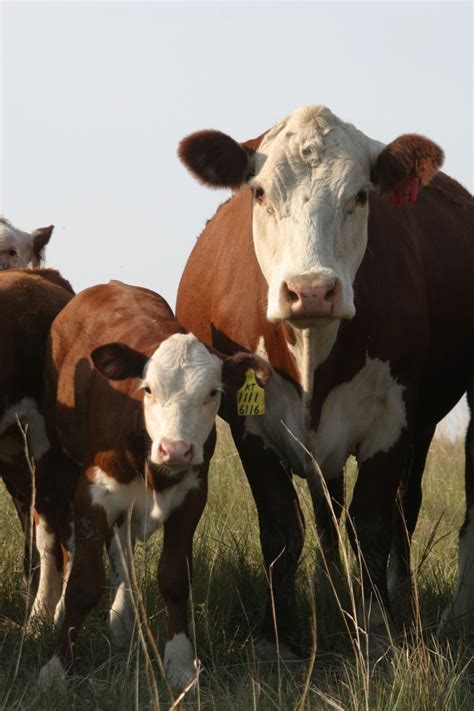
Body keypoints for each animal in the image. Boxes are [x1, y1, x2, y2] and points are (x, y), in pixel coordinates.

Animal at [35, 280, 272, 692]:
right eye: (147, 389)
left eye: (213, 392)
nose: (175, 449)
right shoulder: (93, 494)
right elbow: (83, 583)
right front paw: (56, 668)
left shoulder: (192, 495)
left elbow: (174, 578)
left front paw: (179, 663)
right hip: (60, 461)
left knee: (123, 551)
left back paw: (122, 622)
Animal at [175, 103, 474, 652]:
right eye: (260, 192)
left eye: (360, 195)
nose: (311, 291)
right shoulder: (249, 427)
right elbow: (281, 528)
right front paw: (278, 635)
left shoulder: (394, 419)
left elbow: (373, 523)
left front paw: (377, 625)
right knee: (326, 509)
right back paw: (330, 582)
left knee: (403, 507)